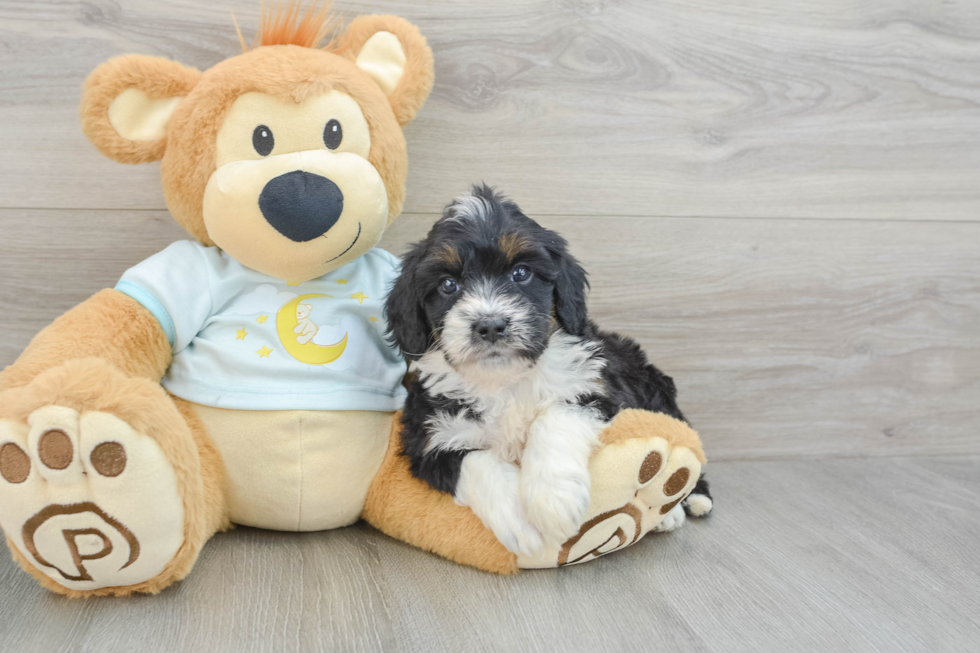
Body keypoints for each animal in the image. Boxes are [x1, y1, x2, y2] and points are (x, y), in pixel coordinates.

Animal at [384, 185, 712, 556]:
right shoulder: (428, 435)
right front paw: (519, 519)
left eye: (521, 273)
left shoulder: (597, 387)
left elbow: (555, 416)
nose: (490, 325)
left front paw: (552, 498)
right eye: (448, 285)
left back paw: (689, 503)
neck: (504, 380)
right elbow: (476, 462)